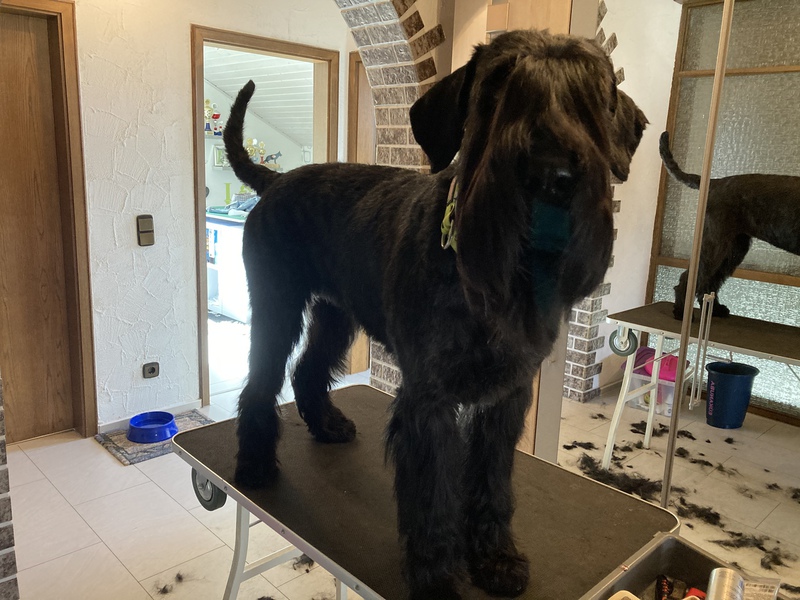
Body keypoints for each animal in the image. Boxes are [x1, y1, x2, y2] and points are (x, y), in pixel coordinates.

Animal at [224, 30, 646, 600]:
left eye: (591, 97)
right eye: (496, 87)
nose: (551, 177)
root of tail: (274, 180)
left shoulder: (508, 396)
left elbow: (491, 482)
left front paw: (495, 558)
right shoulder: (430, 402)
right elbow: (432, 497)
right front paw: (438, 579)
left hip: (336, 314)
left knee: (308, 368)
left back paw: (328, 426)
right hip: (276, 306)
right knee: (261, 382)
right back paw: (254, 464)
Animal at [660, 131, 800, 320]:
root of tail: (714, 182)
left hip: (733, 248)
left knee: (709, 282)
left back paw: (716, 310)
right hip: (716, 244)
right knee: (691, 278)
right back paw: (681, 312)